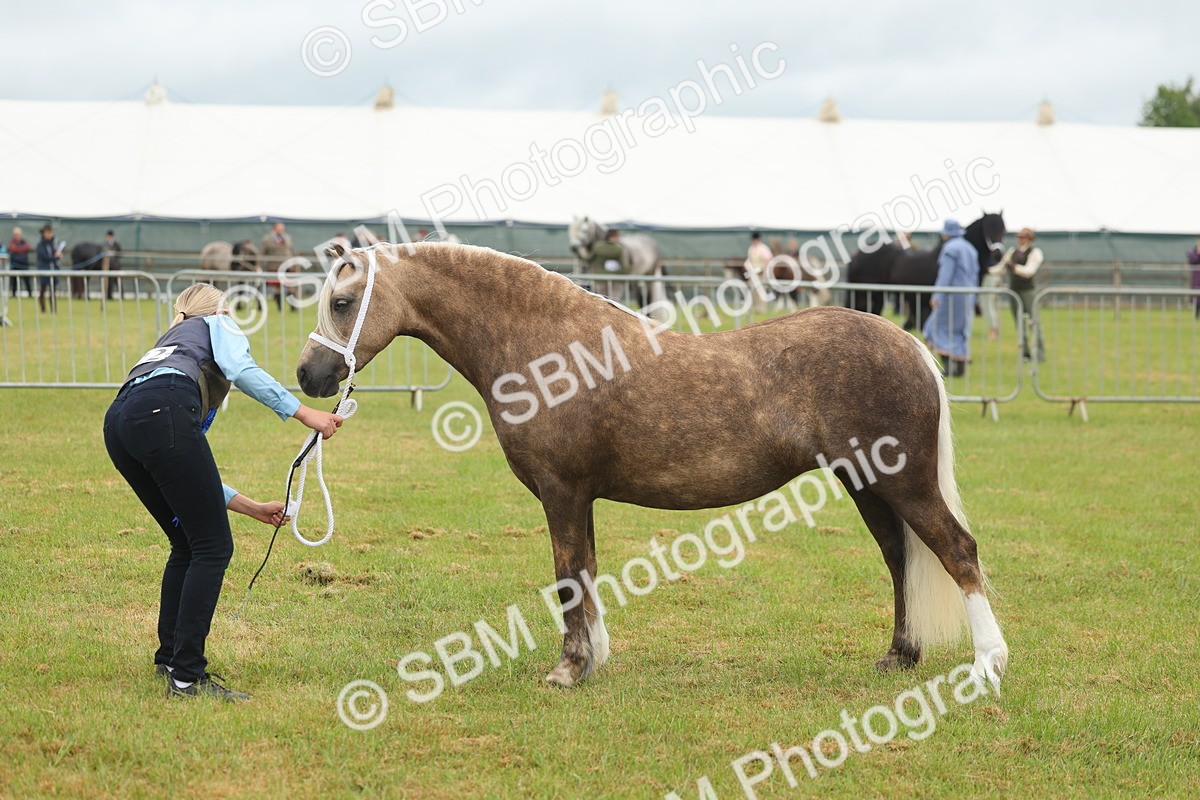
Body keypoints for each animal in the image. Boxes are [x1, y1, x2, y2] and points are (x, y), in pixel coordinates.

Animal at [295, 241, 1009, 692]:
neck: (547, 348)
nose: (308, 375)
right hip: (867, 486)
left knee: (956, 550)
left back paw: (987, 666)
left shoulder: (560, 492)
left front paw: (566, 671)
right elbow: (584, 574)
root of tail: (907, 342)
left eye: (341, 302)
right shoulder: (579, 497)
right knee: (900, 557)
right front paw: (591, 662)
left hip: (903, 482)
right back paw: (900, 656)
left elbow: (568, 579)